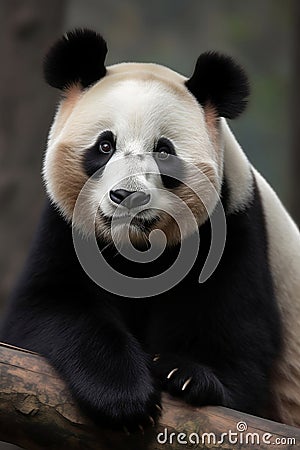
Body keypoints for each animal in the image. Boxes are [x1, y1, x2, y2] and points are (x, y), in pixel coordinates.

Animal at [0, 29, 300, 432]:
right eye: (105, 145)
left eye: (164, 152)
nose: (127, 196)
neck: (138, 249)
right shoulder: (67, 228)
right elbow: (47, 307)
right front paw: (124, 395)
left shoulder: (234, 226)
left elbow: (237, 346)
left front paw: (184, 374)